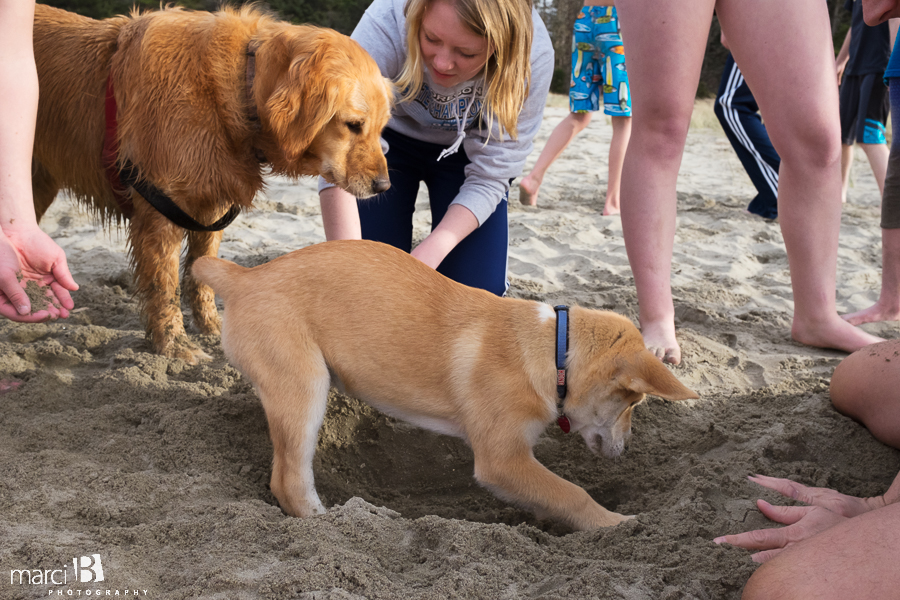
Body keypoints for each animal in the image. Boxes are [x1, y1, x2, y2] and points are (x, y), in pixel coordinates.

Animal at [32, 4, 390, 364]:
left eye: (382, 127)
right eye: (353, 124)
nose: (384, 186)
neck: (241, 86)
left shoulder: (210, 206)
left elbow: (201, 273)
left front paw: (213, 328)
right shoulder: (160, 212)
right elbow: (165, 286)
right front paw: (174, 344)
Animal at [190, 239, 700, 528]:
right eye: (632, 402)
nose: (627, 449)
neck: (553, 350)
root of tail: (244, 277)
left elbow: (550, 492)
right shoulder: (501, 459)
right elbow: (572, 492)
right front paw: (617, 523)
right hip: (304, 387)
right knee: (288, 480)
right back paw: (333, 522)